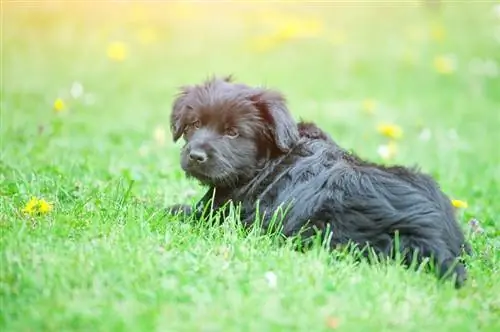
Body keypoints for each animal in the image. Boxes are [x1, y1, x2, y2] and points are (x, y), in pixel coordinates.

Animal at [166, 75, 470, 288]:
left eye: (232, 133)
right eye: (194, 124)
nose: (195, 156)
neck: (269, 159)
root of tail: (431, 234)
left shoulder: (222, 214)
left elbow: (186, 211)